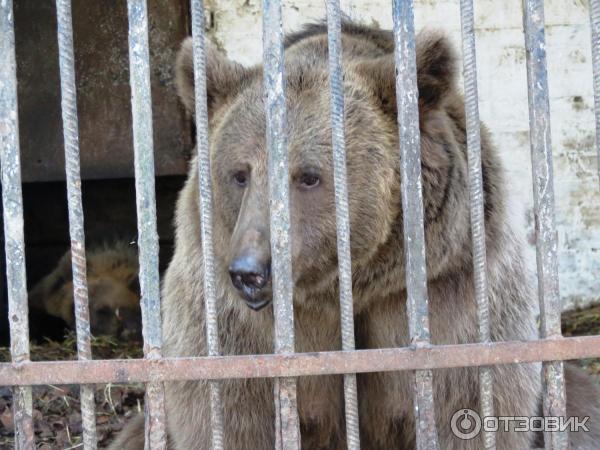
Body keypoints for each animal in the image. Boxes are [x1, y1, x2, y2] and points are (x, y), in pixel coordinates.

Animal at [111, 21, 600, 450]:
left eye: (309, 176)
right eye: (239, 174)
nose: (250, 271)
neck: (346, 289)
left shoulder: (451, 296)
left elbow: (469, 404)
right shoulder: (235, 329)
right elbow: (232, 415)